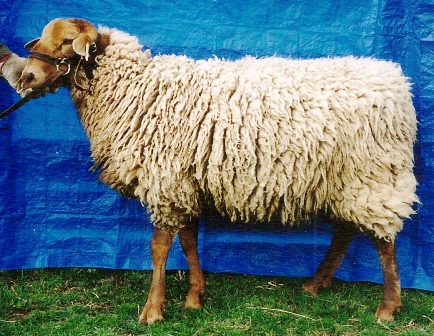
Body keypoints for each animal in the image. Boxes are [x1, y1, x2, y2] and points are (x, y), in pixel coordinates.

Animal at [19, 17, 418, 322]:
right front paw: (196, 296)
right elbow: (189, 240)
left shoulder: (165, 179)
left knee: (384, 241)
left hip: (374, 172)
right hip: (343, 178)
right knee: (346, 231)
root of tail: (396, 80)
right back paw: (316, 284)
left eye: (67, 42)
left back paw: (388, 307)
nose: (26, 78)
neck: (134, 88)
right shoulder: (183, 179)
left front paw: (153, 310)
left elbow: (159, 247)